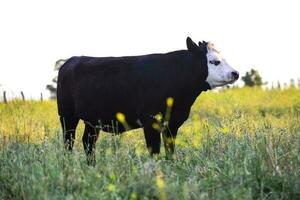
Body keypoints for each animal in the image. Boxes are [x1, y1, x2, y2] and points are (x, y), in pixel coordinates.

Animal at [56, 37, 239, 164]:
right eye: (214, 62)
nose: (235, 73)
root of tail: (71, 61)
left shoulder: (172, 123)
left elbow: (170, 150)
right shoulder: (150, 121)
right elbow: (154, 150)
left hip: (93, 121)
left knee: (88, 142)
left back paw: (92, 167)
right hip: (67, 116)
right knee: (69, 142)